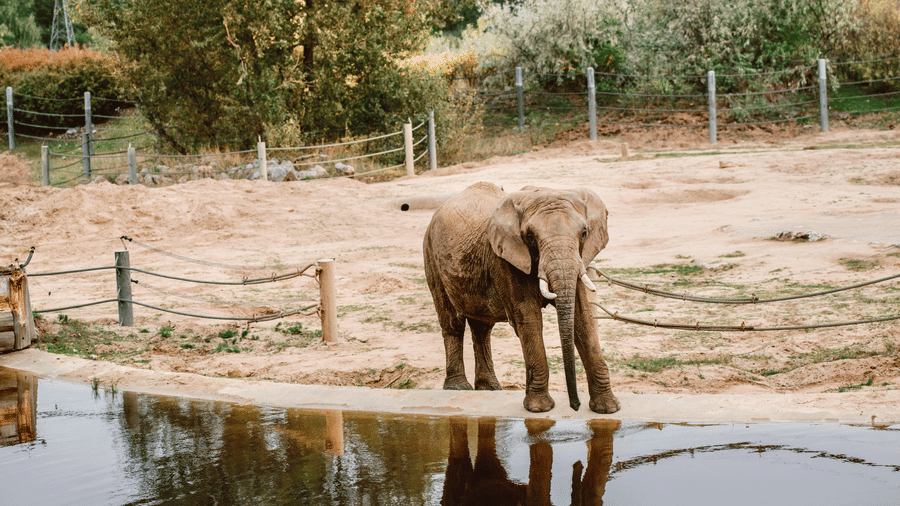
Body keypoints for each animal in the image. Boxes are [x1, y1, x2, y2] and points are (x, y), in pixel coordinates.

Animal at [423, 182, 620, 414]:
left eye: (584, 233)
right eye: (530, 237)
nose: (575, 406)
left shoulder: (579, 258)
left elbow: (582, 317)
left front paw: (608, 408)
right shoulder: (503, 260)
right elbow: (529, 318)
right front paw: (539, 409)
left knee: (482, 328)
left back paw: (490, 389)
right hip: (431, 255)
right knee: (452, 322)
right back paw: (458, 389)